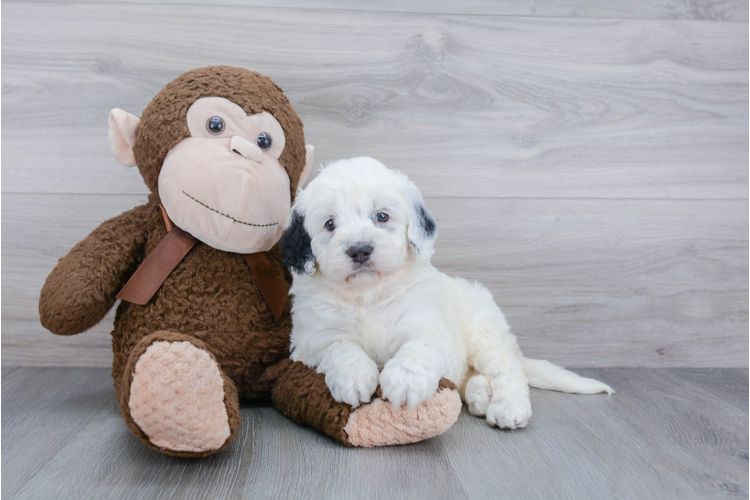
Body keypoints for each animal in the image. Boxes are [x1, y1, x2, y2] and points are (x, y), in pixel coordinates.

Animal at [280, 158, 612, 428]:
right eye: (330, 224)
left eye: (382, 217)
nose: (360, 249)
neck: (369, 295)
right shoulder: (311, 340)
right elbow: (339, 346)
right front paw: (355, 376)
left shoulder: (428, 323)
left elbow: (418, 346)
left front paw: (405, 381)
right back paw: (480, 394)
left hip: (485, 332)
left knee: (508, 370)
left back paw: (508, 407)